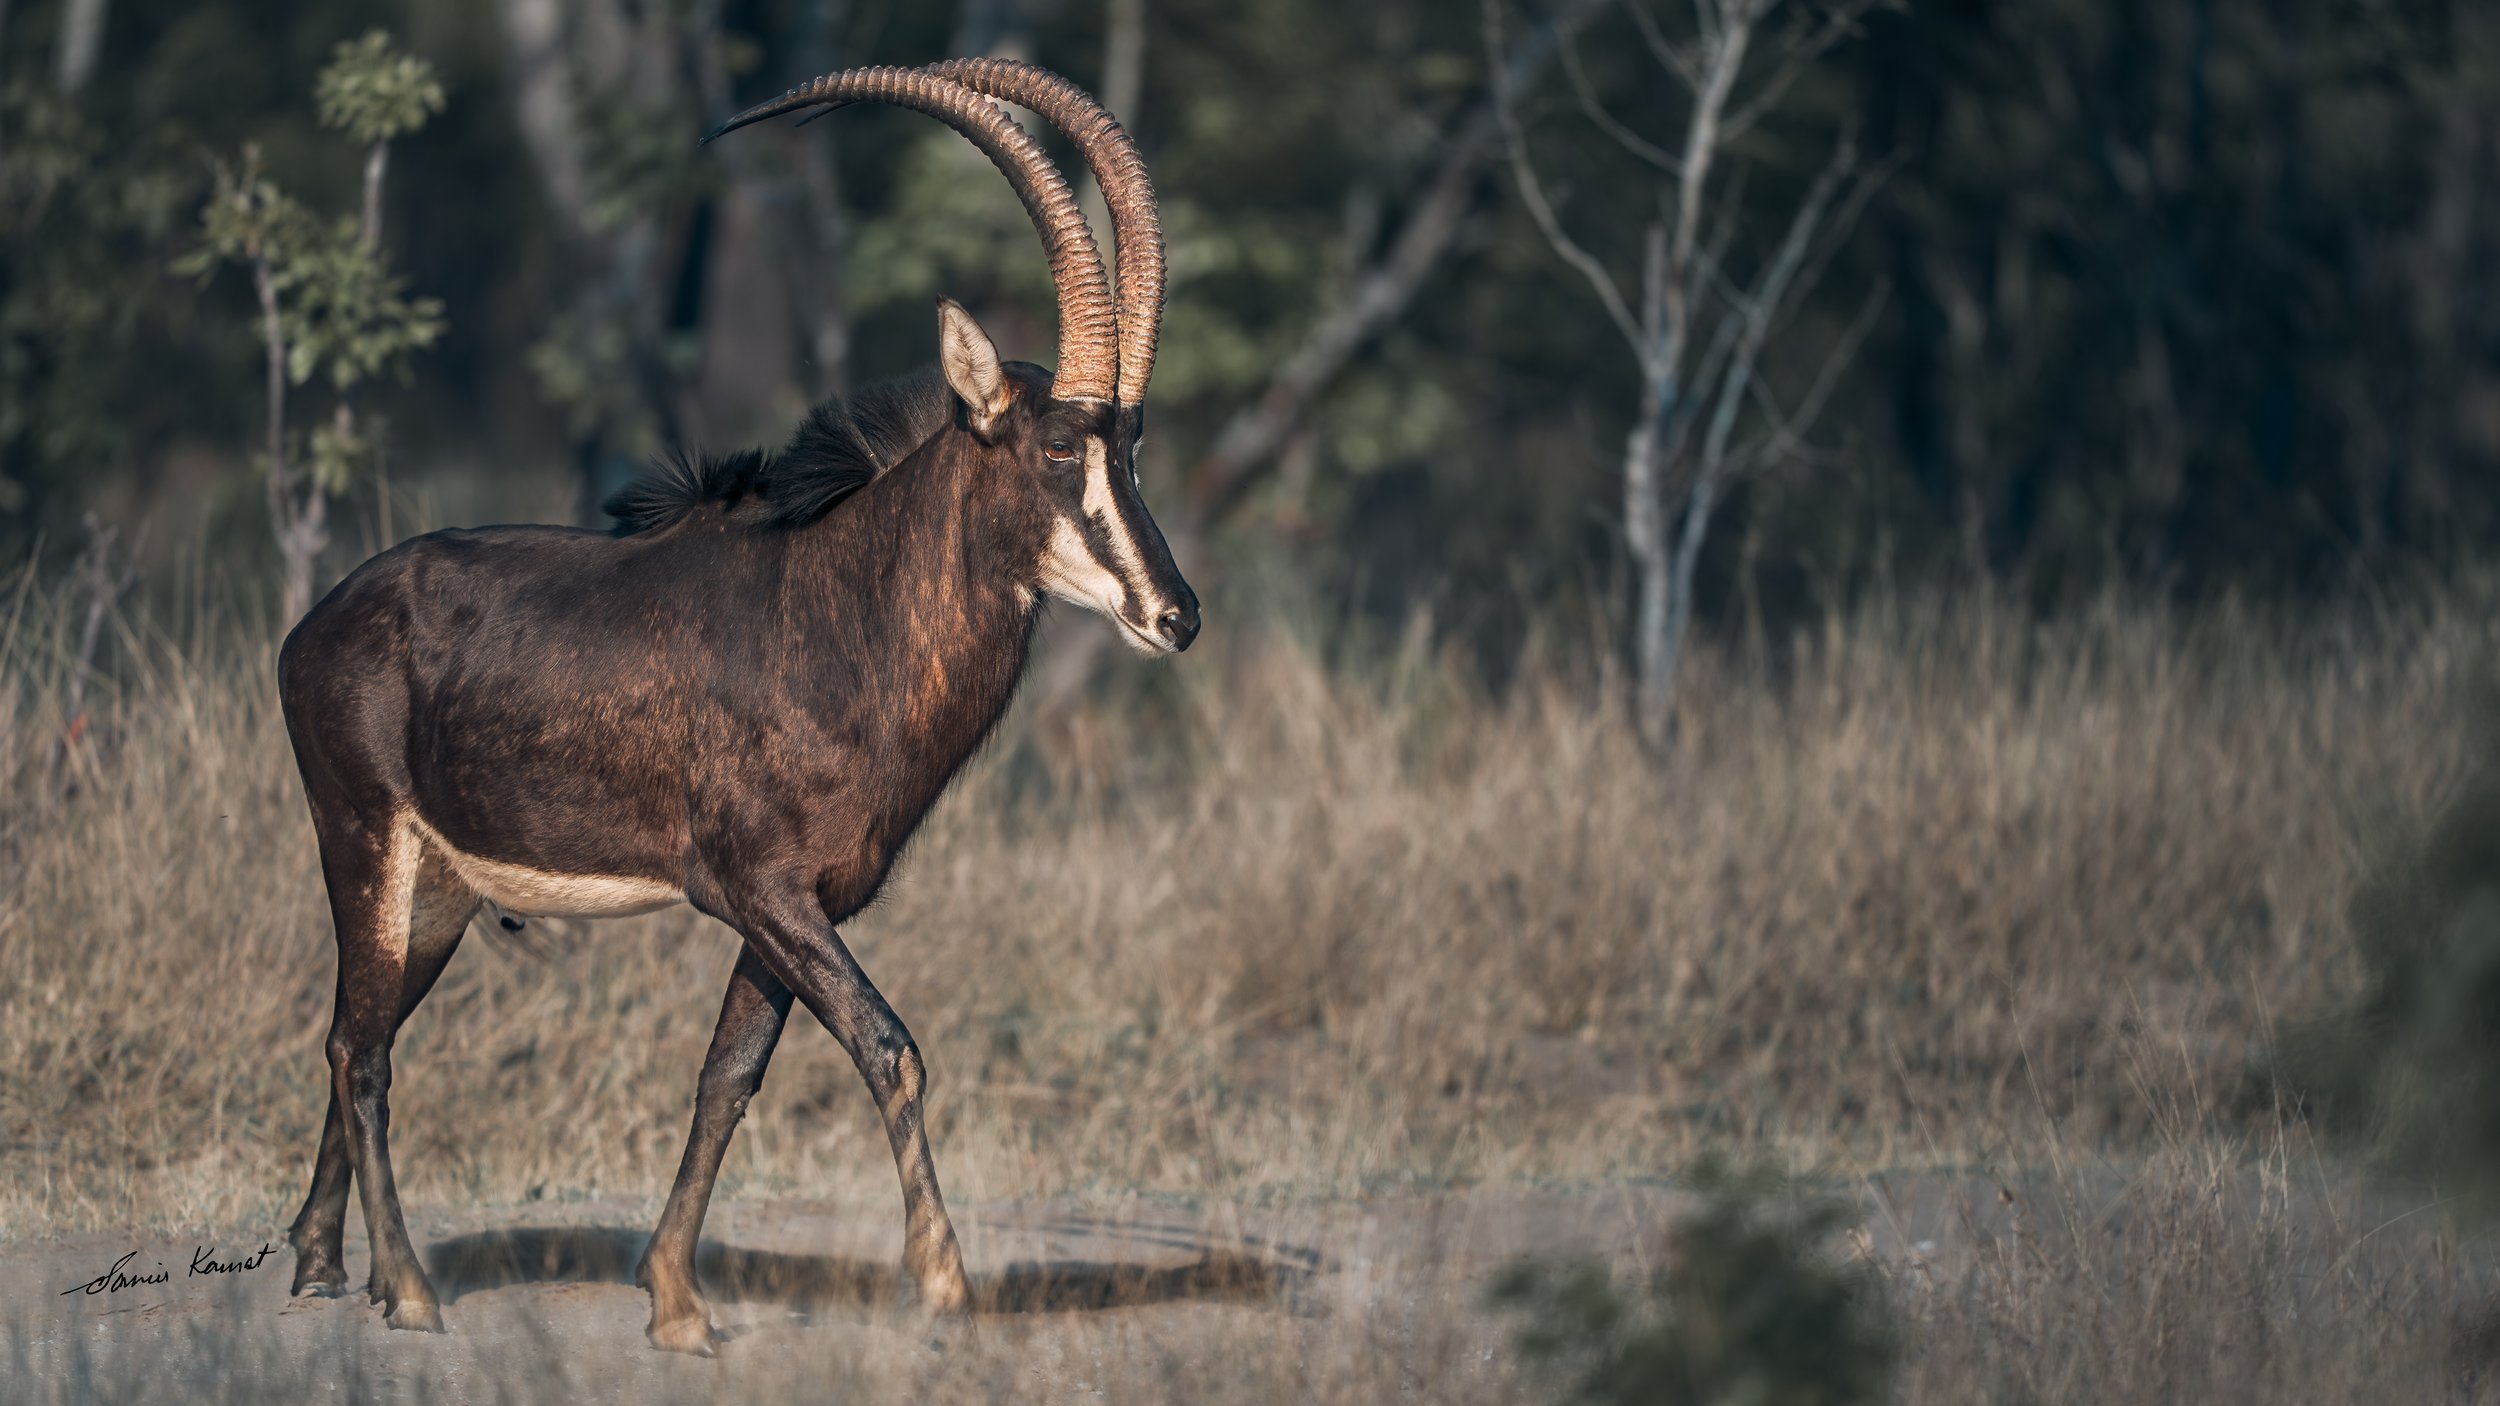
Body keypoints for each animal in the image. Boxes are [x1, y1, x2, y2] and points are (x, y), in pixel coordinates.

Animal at [275, 61, 1197, 1355]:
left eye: (1136, 441)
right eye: (1062, 445)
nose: (1176, 613)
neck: (840, 610)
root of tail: (317, 624)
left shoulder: (797, 909)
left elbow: (727, 1078)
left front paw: (673, 1298)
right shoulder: (756, 889)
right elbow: (891, 1048)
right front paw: (943, 1284)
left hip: (439, 899)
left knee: (356, 1031)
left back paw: (320, 1262)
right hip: (365, 845)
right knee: (360, 1050)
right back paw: (407, 1289)